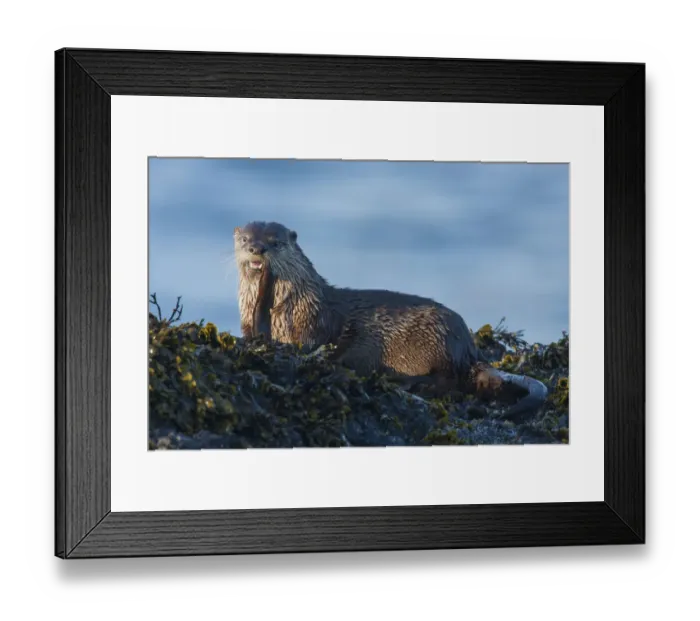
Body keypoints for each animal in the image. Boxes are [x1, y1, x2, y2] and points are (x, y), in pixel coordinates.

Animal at [234, 221, 548, 416]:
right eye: (245, 239)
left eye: (275, 242)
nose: (257, 249)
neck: (289, 307)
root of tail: (469, 350)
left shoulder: (313, 324)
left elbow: (310, 345)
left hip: (438, 340)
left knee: (449, 381)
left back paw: (409, 383)